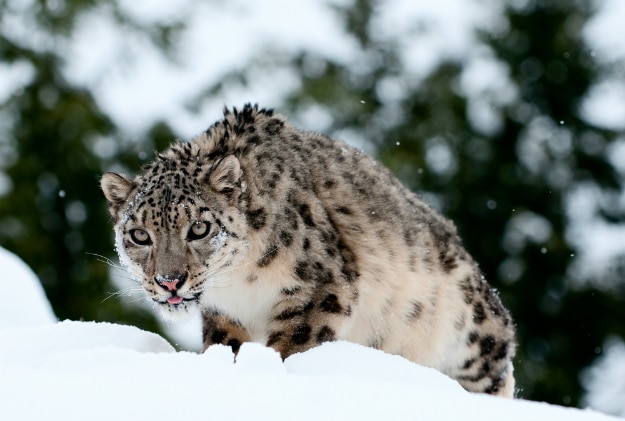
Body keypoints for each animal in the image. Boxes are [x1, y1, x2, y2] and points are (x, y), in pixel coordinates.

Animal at [100, 103, 516, 396]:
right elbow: (228, 346)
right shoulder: (225, 314)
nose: (170, 280)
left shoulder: (321, 288)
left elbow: (291, 346)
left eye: (199, 228)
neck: (240, 284)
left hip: (474, 334)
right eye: (140, 235)